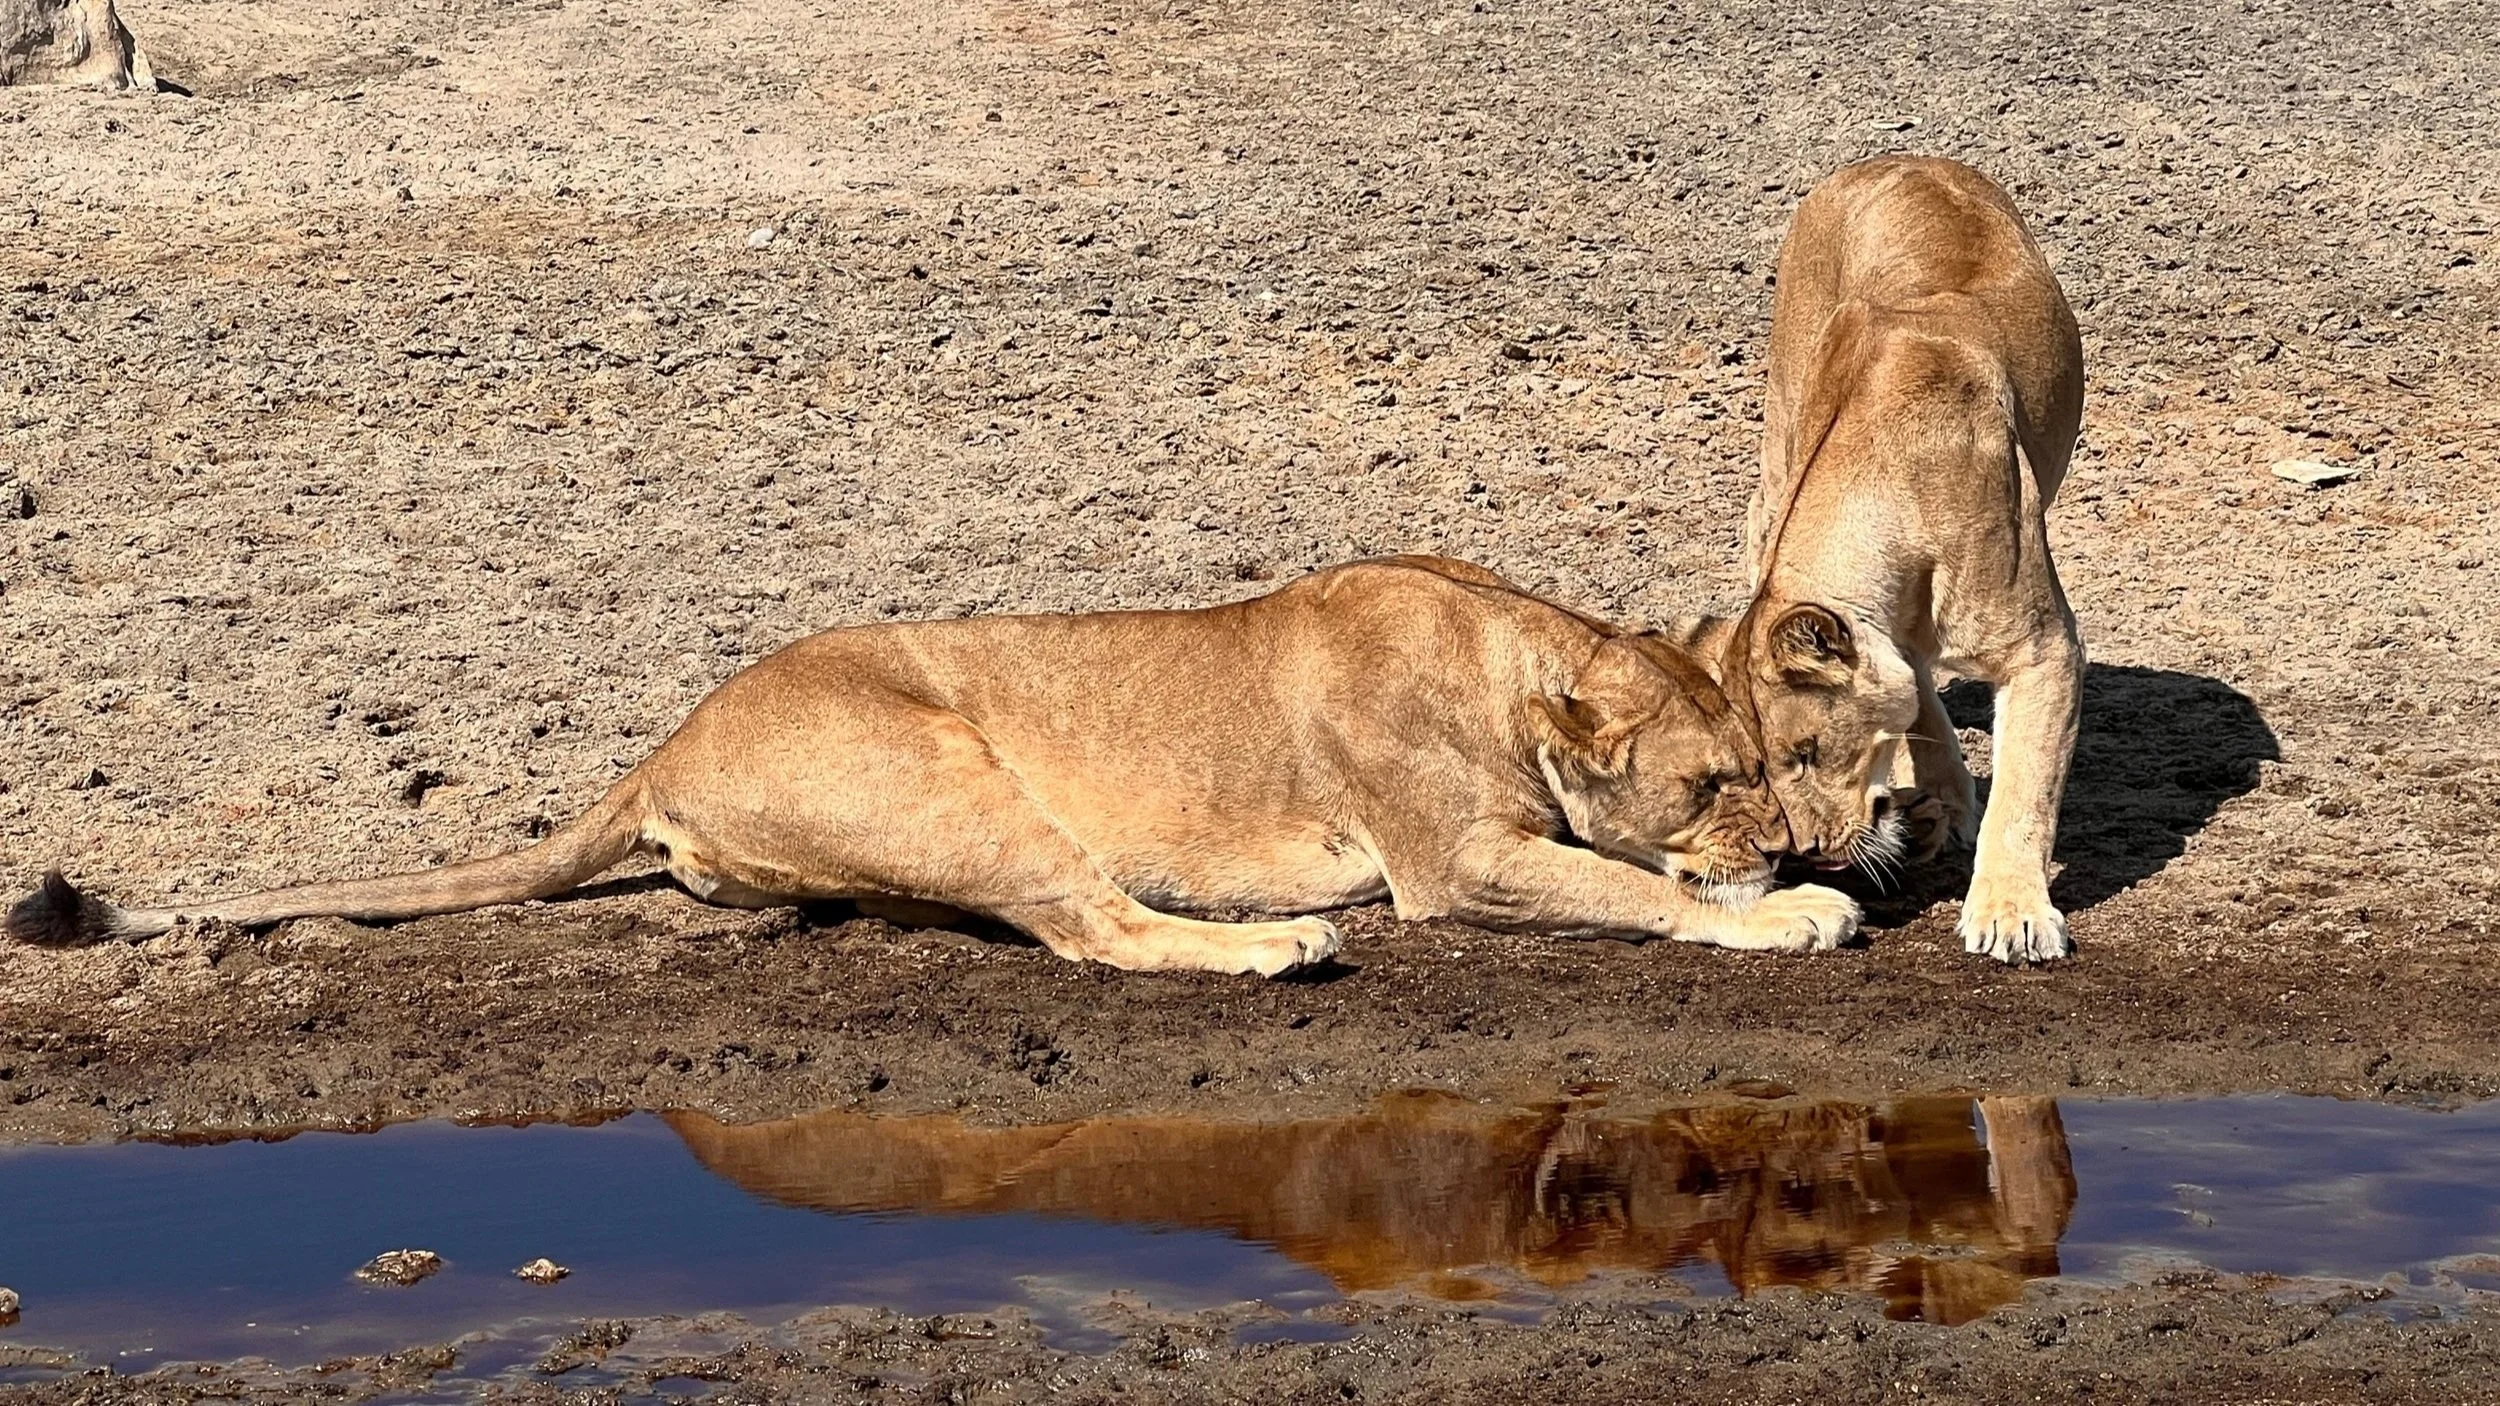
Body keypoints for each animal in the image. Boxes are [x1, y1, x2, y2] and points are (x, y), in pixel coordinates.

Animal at [1674, 156, 2087, 964]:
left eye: (1805, 751)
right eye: (1759, 765)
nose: (1806, 853)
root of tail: (1894, 159)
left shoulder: (2040, 648)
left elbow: (2027, 789)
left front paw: (2011, 912)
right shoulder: (1889, 632)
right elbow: (1918, 702)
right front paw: (1944, 805)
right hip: (1780, 416)